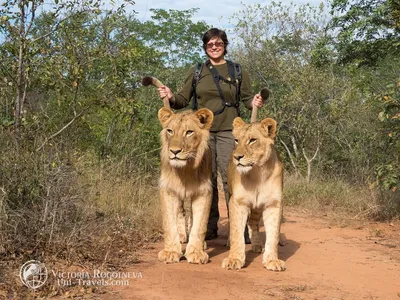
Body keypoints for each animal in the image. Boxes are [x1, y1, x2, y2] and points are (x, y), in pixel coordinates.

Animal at [155, 106, 214, 264]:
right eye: (170, 131)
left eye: (189, 132)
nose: (174, 151)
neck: (185, 170)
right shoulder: (168, 189)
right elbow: (169, 224)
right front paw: (171, 252)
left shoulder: (203, 192)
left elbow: (199, 225)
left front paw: (196, 253)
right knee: (180, 212)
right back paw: (182, 236)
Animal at [220, 117, 286, 272]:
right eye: (236, 140)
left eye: (252, 140)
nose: (237, 157)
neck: (258, 173)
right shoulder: (238, 202)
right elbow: (237, 231)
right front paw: (234, 259)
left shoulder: (274, 204)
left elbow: (273, 234)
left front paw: (272, 260)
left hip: (257, 206)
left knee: (253, 222)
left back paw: (256, 245)